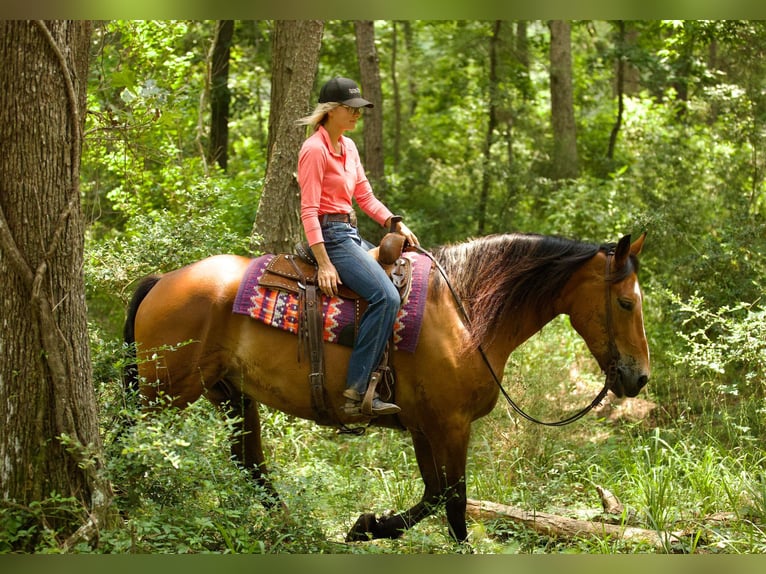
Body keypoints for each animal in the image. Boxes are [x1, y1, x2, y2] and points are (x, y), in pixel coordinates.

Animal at [123, 231, 652, 544]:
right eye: (626, 303)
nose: (639, 377)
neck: (464, 315)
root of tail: (163, 280)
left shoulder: (423, 425)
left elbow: (434, 495)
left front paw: (366, 526)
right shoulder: (451, 426)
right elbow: (455, 505)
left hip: (230, 393)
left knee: (249, 462)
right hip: (164, 392)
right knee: (130, 442)